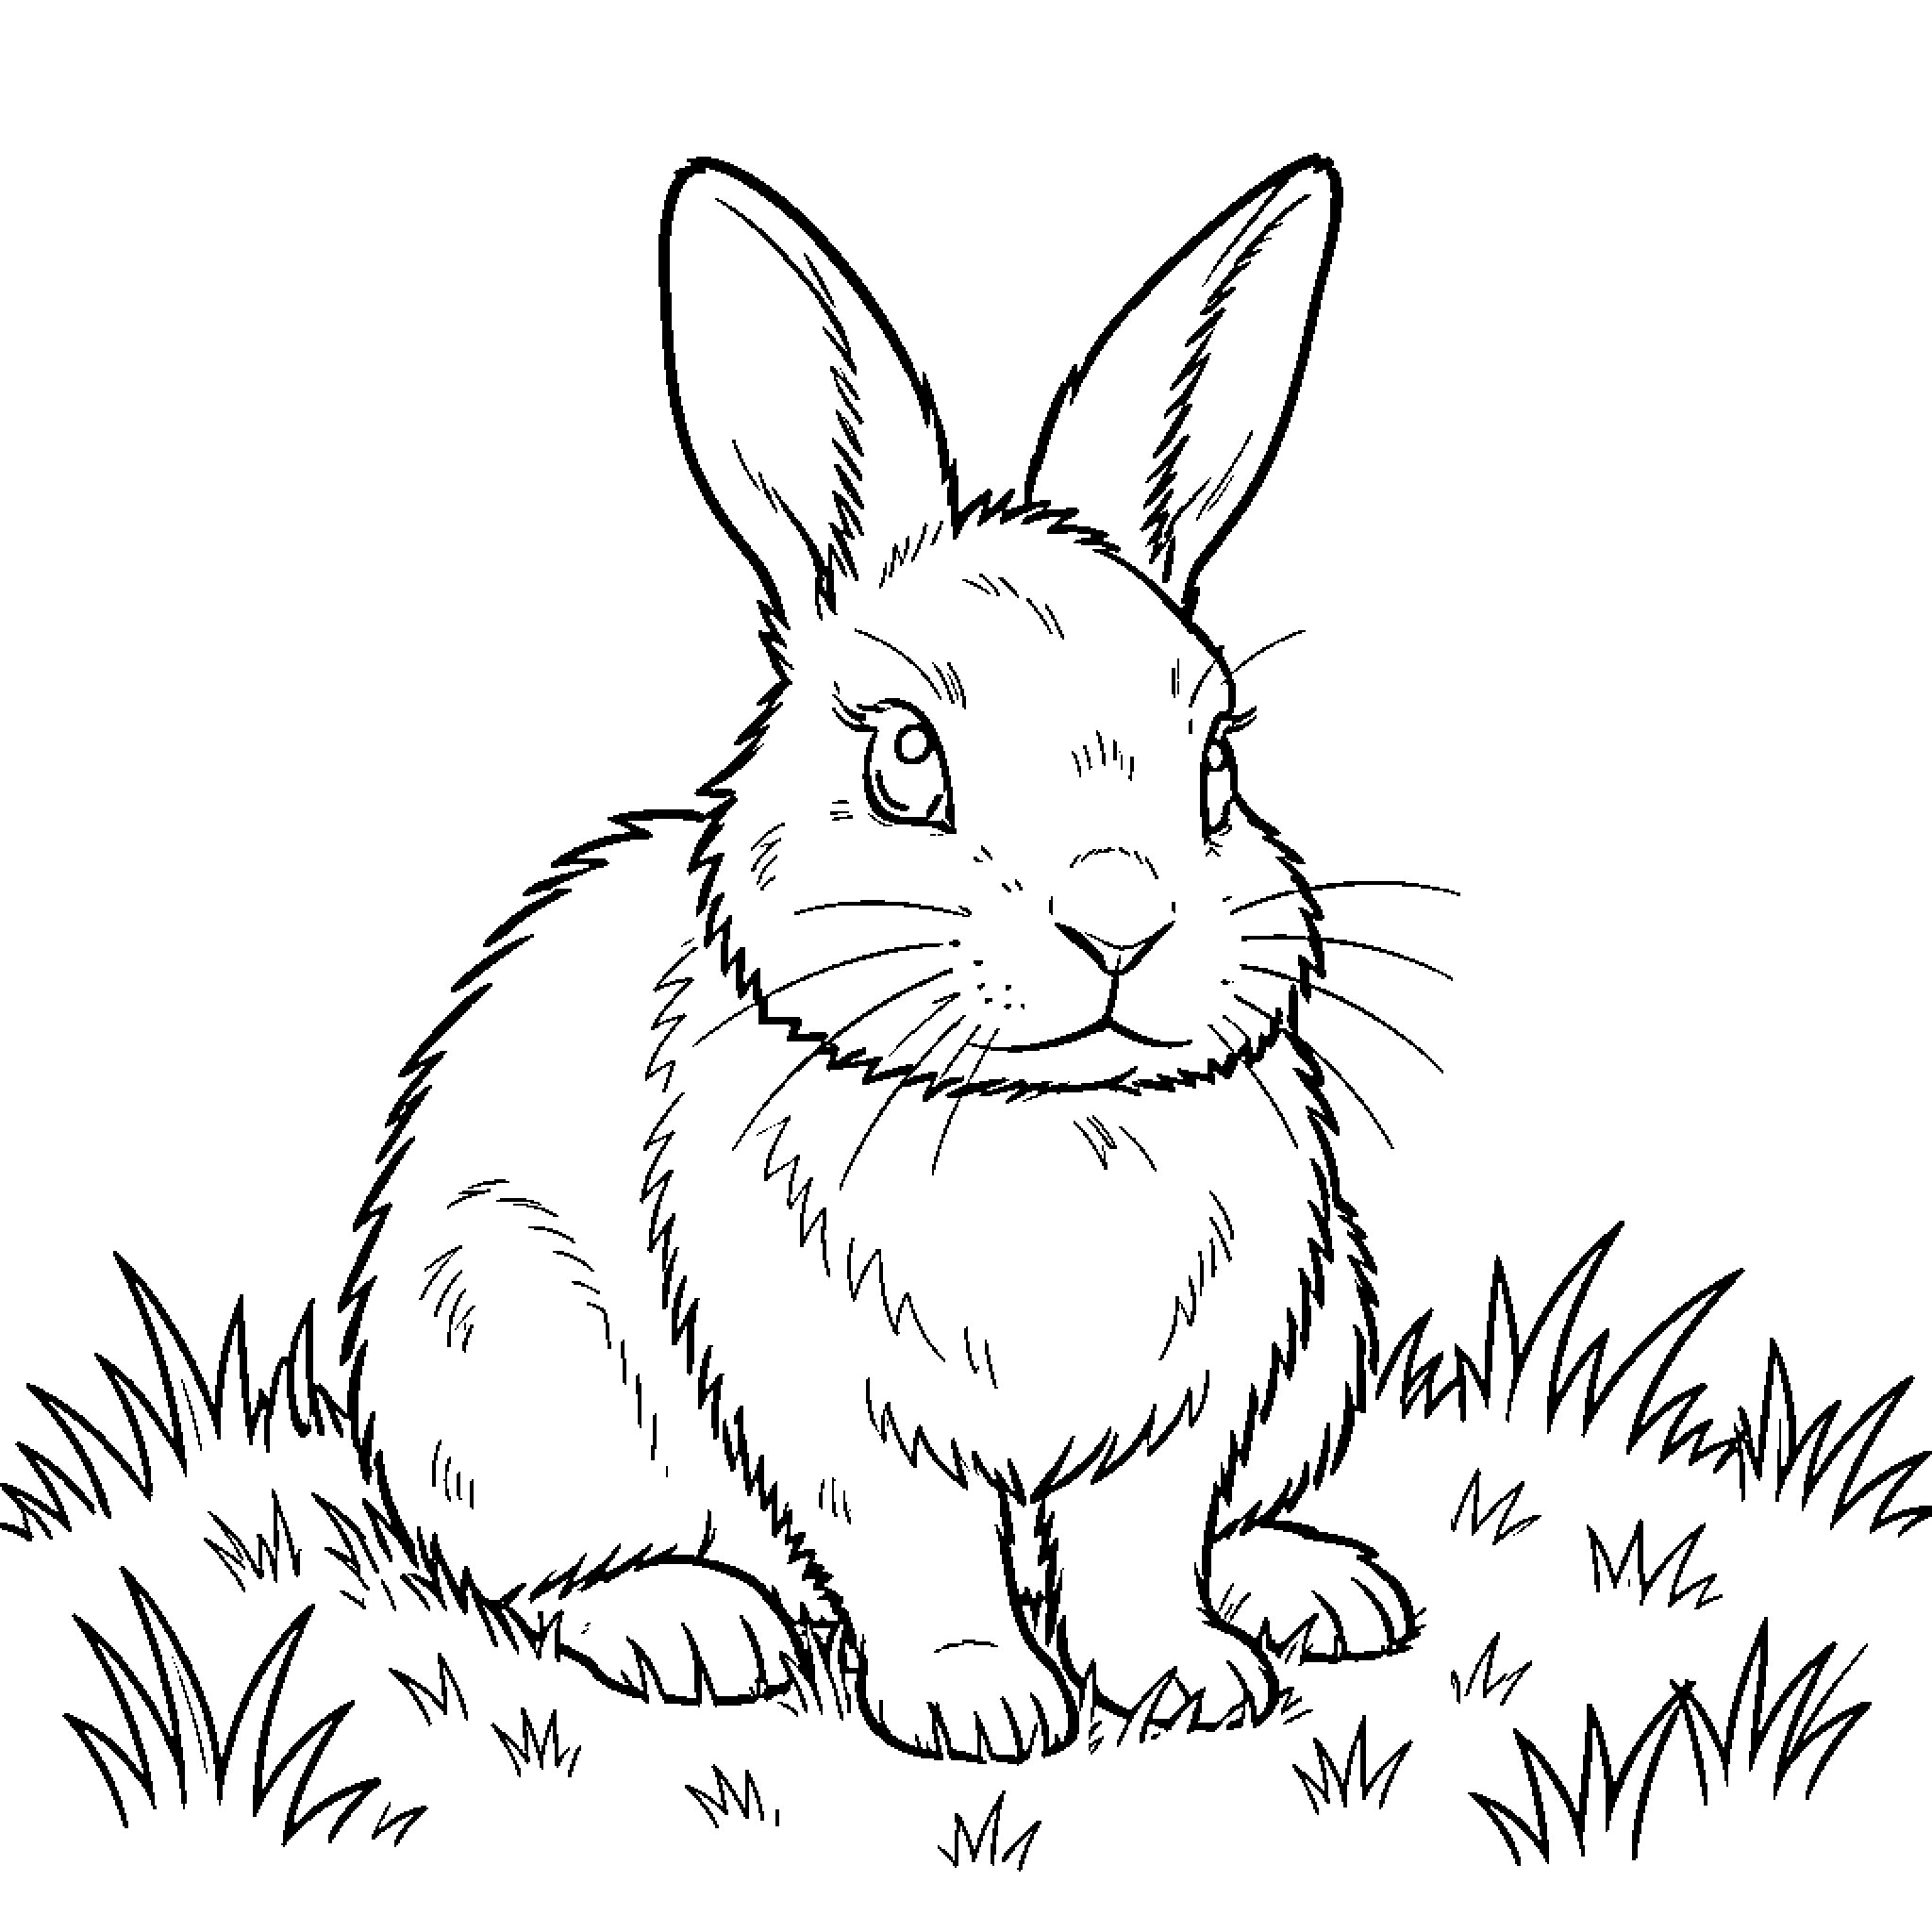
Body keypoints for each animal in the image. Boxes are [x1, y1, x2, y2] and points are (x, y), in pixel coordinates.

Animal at [338, 154, 1416, 1762]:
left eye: (1215, 760)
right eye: (908, 757)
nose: (1122, 923)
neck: (1047, 1122)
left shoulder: (1183, 1414)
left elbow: (1140, 1554)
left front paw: (1190, 1684)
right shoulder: (840, 1416)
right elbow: (921, 1557)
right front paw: (985, 1710)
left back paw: (1316, 1590)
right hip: (498, 1355)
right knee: (536, 1562)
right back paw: (687, 1626)